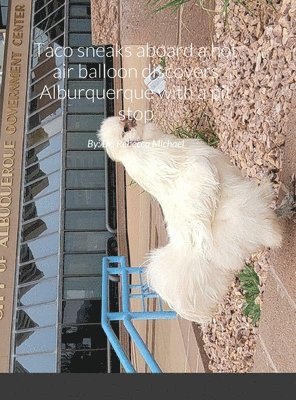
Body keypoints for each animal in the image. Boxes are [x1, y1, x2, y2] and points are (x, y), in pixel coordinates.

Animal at [99, 114, 282, 324]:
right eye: (125, 130)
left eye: (124, 122)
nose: (130, 118)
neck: (138, 146)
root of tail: (189, 251)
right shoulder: (198, 166)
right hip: (245, 212)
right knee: (268, 229)